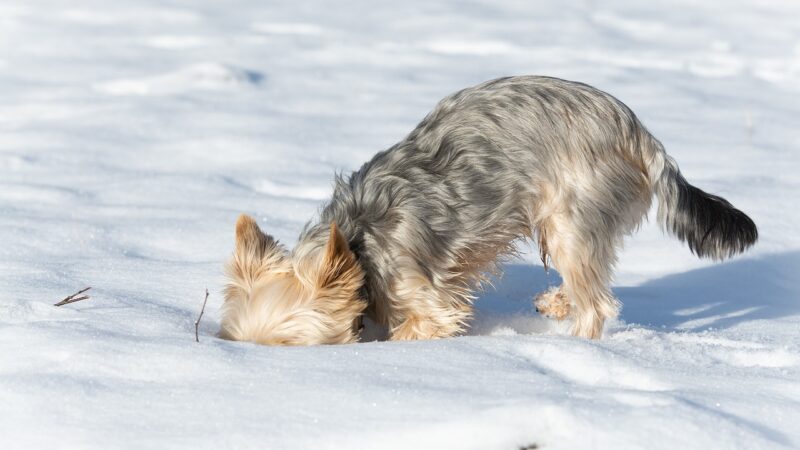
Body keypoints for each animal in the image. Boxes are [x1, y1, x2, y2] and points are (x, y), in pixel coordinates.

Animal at [217, 76, 756, 344]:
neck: (357, 245)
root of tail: (641, 133)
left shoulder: (425, 298)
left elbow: (419, 329)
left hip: (571, 215)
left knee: (597, 304)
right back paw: (554, 304)